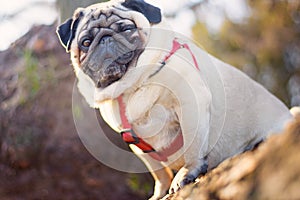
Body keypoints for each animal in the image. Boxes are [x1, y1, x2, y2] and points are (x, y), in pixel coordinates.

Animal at [56, 0, 292, 199]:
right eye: (86, 42)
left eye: (126, 29)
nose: (105, 39)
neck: (132, 86)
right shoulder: (135, 142)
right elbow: (158, 172)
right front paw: (160, 192)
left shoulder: (190, 106)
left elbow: (192, 147)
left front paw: (187, 173)